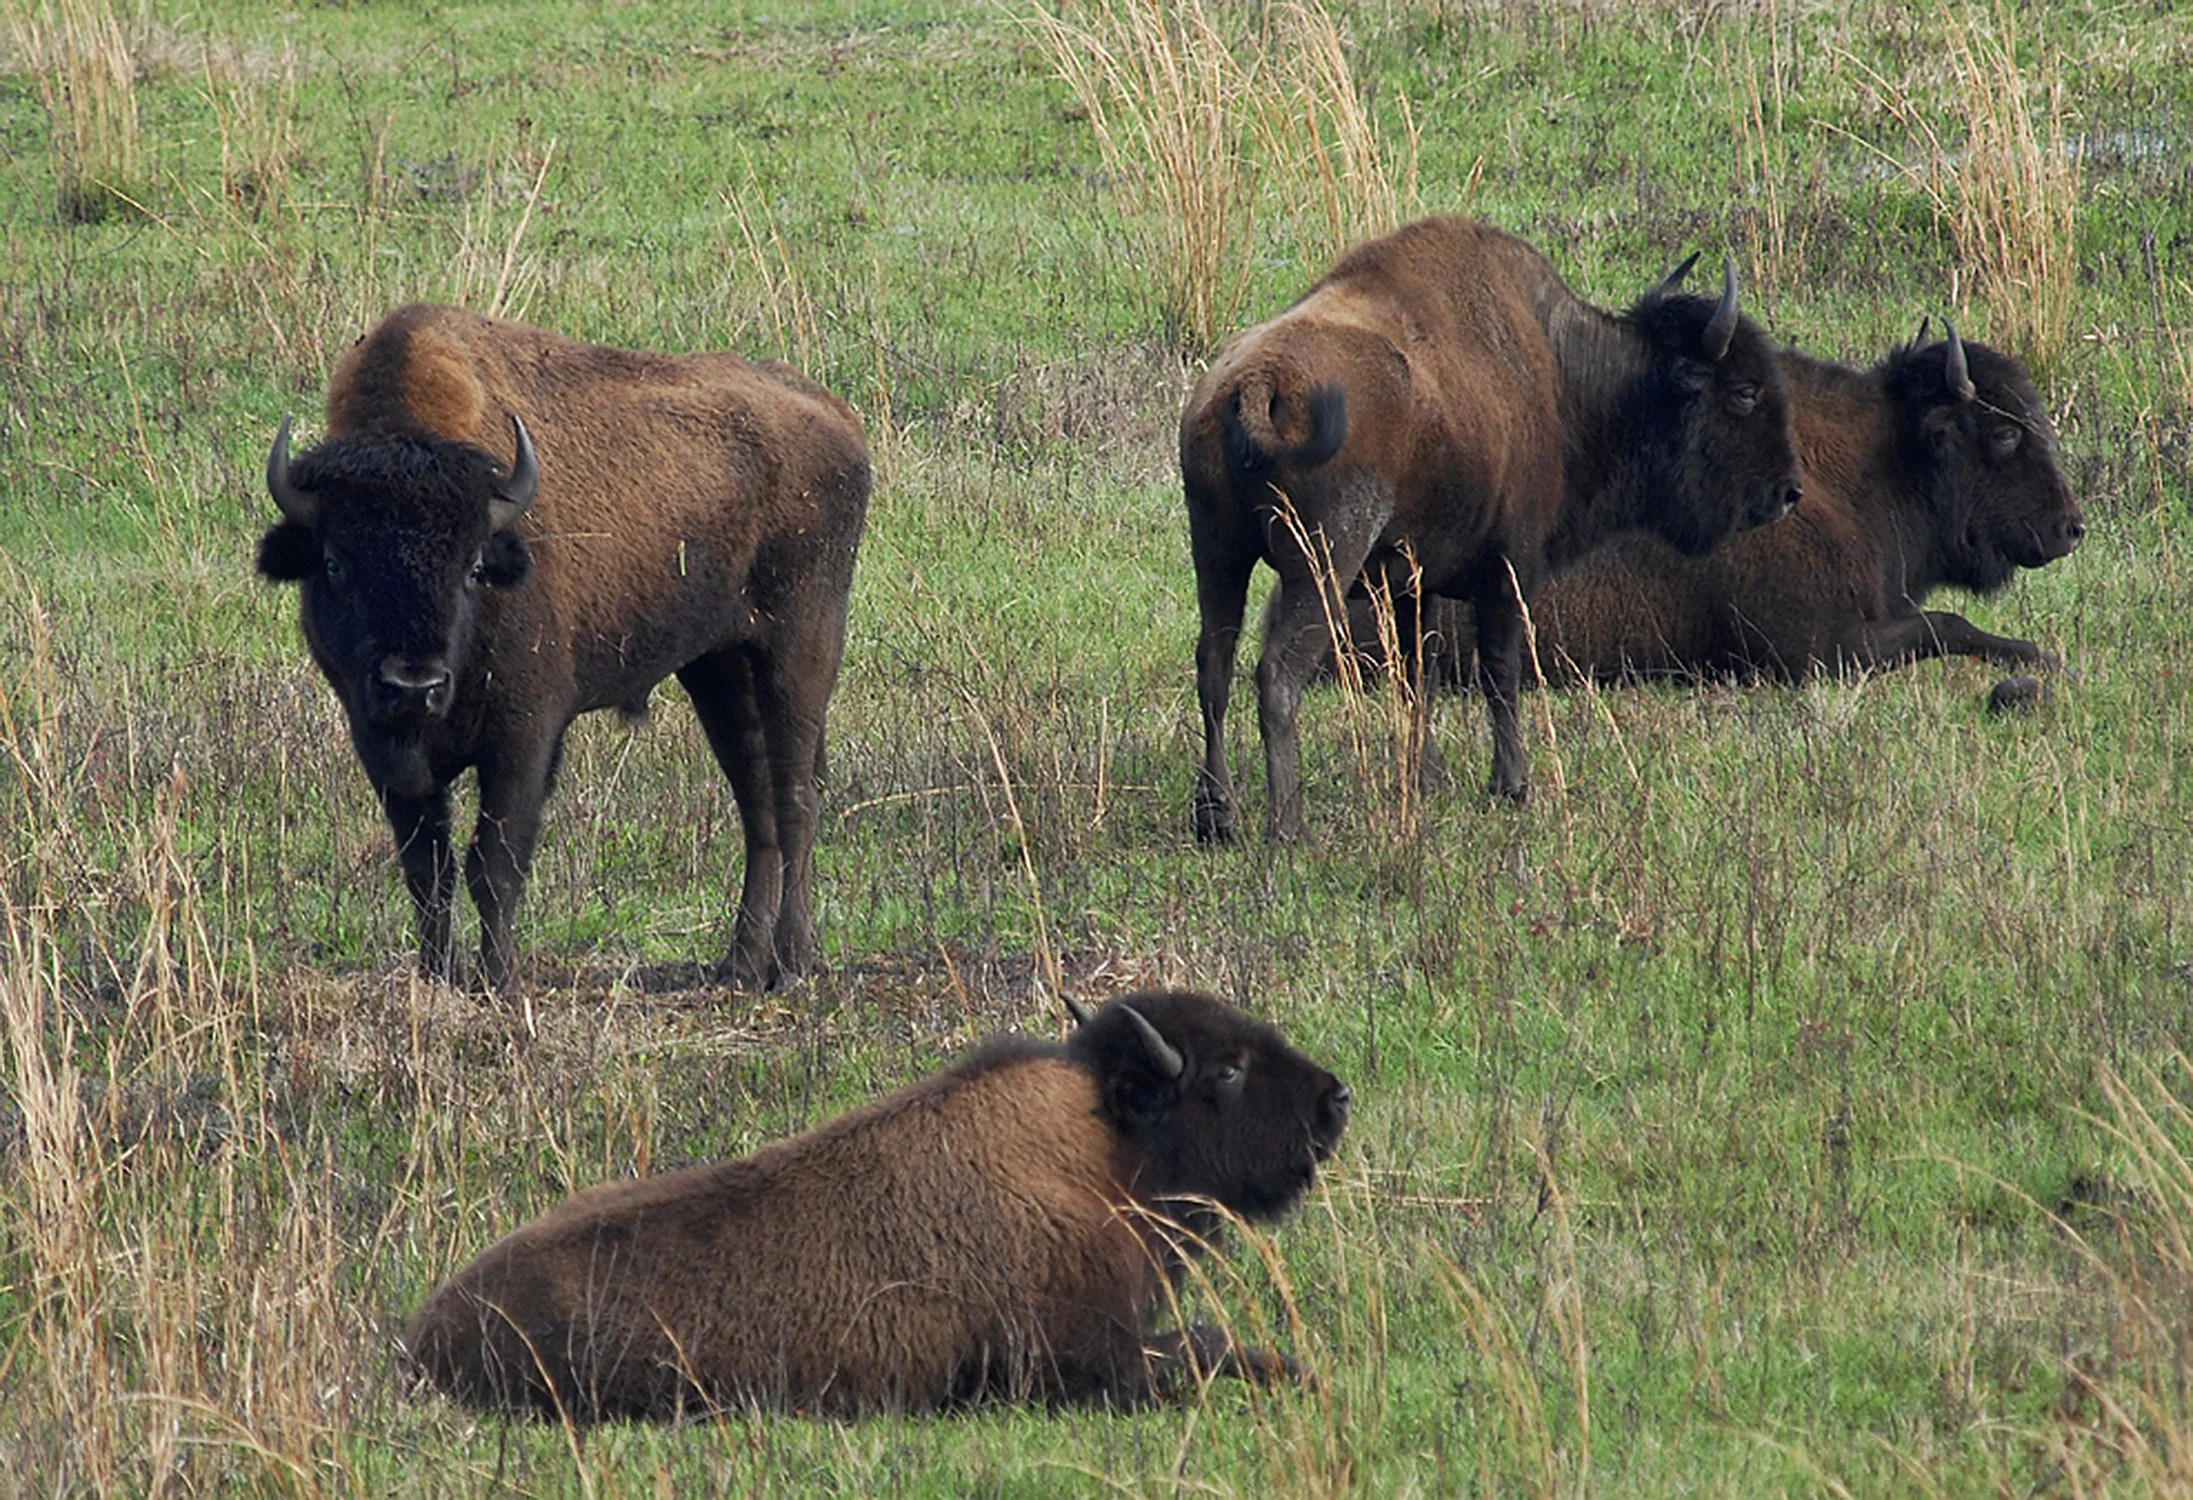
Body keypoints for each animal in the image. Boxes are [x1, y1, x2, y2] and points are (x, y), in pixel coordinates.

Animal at [255, 304, 869, 992]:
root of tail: (835, 415)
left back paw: (791, 964)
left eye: (473, 566)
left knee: (795, 801)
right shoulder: (379, 742)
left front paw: (496, 980)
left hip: (800, 651)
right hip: (719, 668)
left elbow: (494, 864)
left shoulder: (526, 735)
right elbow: (427, 870)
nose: (413, 685)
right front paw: (436, 977)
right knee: (756, 804)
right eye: (335, 563)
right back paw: (738, 965)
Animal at [402, 988, 1352, 1420]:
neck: (1102, 1150)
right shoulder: (1085, 1360)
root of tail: (424, 1333)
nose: (1333, 1099)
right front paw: (1299, 1372)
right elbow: (1205, 1346)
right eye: (1225, 1070)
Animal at [1182, 215, 1802, 838]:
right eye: (1745, 392)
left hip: (1218, 556)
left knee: (1214, 666)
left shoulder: (1414, 586)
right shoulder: (1509, 572)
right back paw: (1288, 827)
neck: (1560, 377)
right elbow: (1500, 673)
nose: (1788, 491)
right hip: (1323, 566)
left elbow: (1420, 675)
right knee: (1277, 676)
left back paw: (1216, 816)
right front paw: (1512, 786)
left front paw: (1427, 781)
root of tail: (1256, 381)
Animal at [1322, 325, 2084, 691]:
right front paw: (2045, 658)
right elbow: (1947, 625)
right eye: (2003, 434)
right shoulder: (1819, 649)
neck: (1867, 467)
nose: (2069, 528)